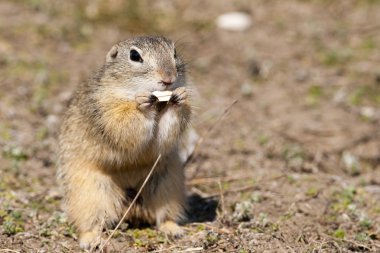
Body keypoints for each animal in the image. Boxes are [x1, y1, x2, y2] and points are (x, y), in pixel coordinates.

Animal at [58, 35, 194, 249]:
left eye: (174, 52)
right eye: (134, 56)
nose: (169, 79)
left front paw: (180, 97)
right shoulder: (107, 110)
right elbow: (124, 123)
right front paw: (142, 103)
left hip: (168, 184)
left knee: (163, 215)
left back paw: (174, 229)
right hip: (90, 193)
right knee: (90, 222)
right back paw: (92, 240)